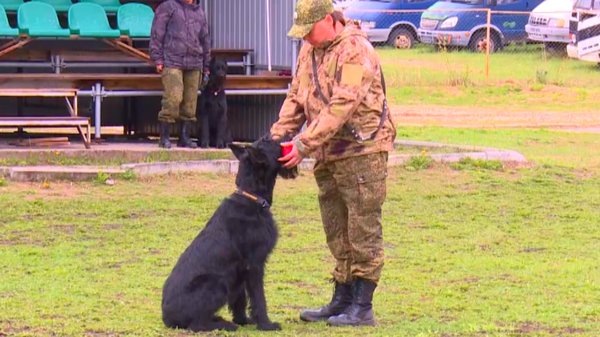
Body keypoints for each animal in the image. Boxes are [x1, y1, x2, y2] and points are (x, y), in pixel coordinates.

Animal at [162, 136, 298, 330]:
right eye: (268, 141)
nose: (283, 136)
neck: (252, 198)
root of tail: (167, 318)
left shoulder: (239, 272)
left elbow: (240, 299)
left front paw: (242, 320)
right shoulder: (254, 264)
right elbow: (259, 297)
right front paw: (265, 324)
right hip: (216, 284)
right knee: (196, 324)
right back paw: (224, 324)